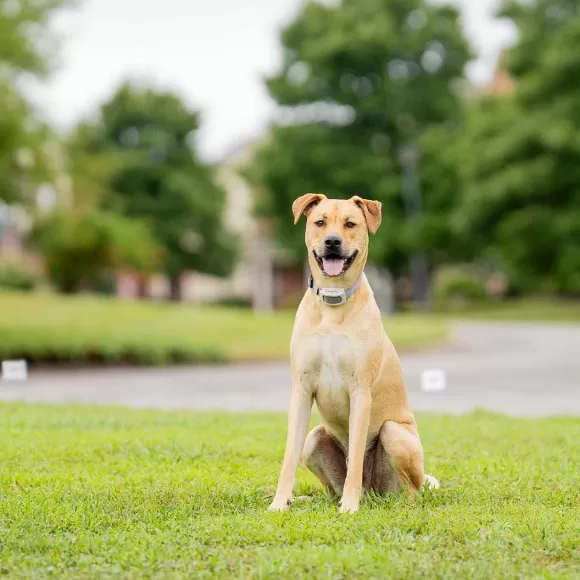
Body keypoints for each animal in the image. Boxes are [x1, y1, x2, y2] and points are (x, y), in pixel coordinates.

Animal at [270, 194, 438, 512]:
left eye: (350, 224)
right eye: (320, 222)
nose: (333, 241)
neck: (333, 303)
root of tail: (374, 492)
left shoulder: (360, 392)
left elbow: (357, 457)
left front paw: (349, 506)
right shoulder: (301, 389)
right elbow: (287, 457)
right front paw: (279, 502)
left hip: (394, 434)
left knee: (410, 490)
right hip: (315, 439)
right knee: (327, 483)